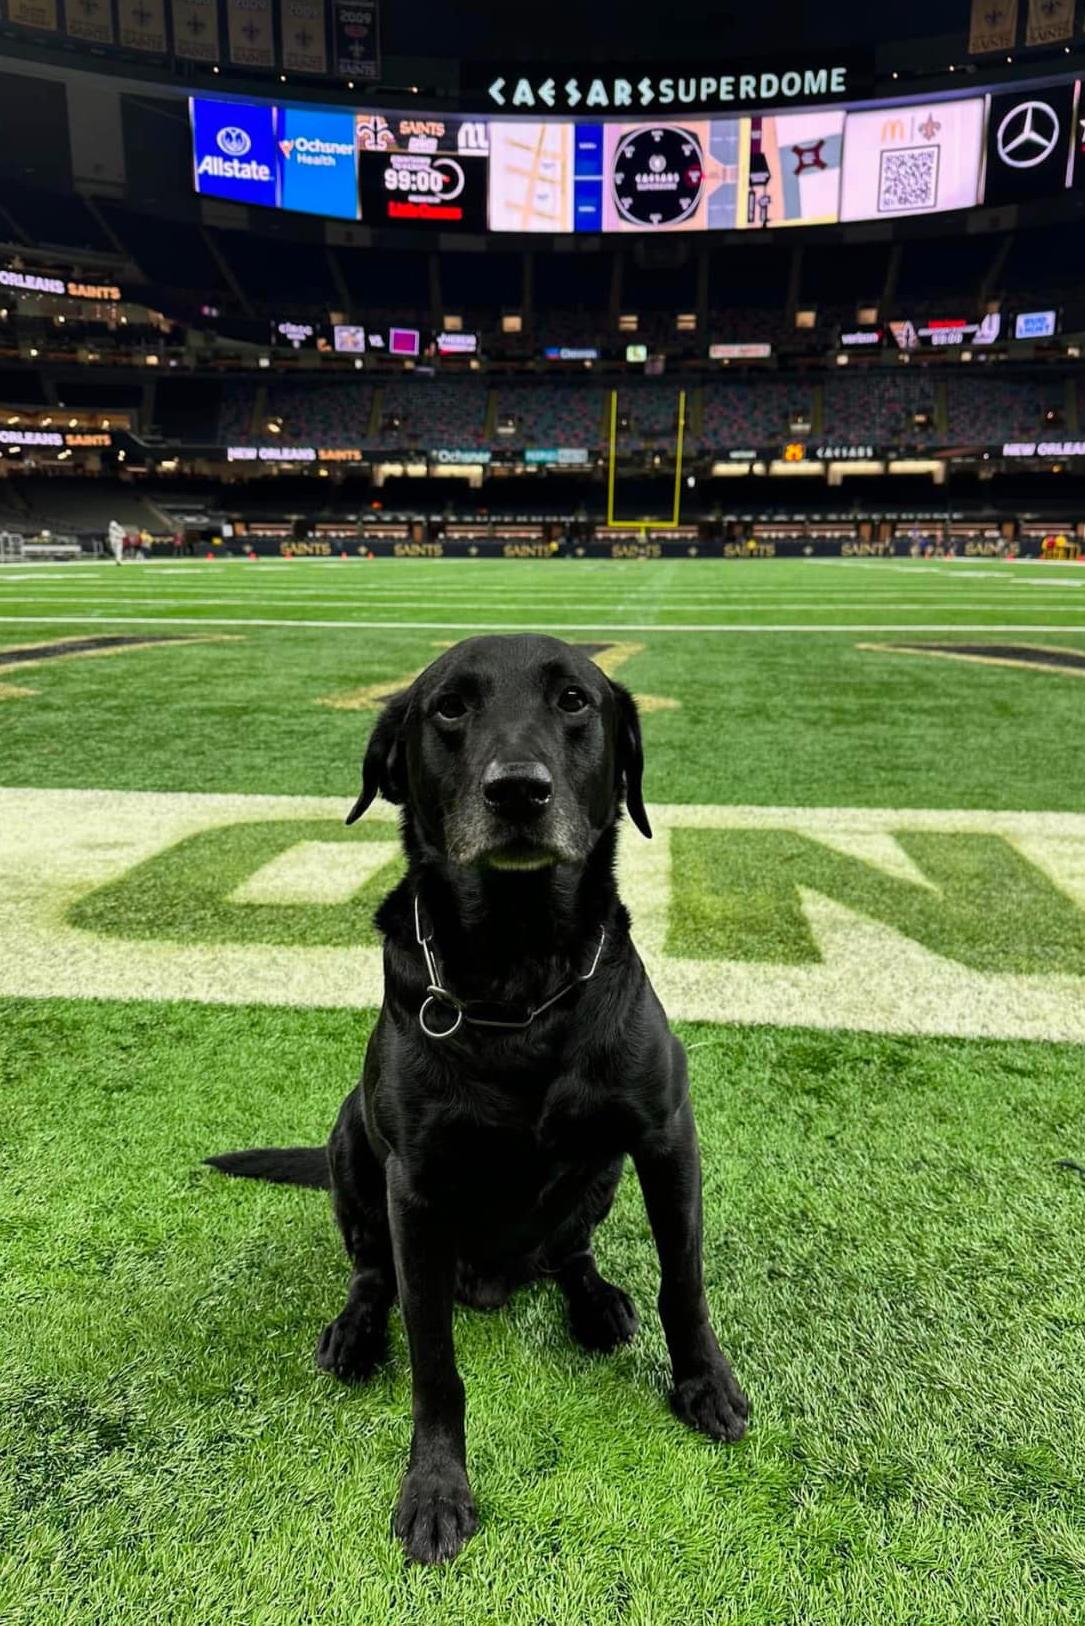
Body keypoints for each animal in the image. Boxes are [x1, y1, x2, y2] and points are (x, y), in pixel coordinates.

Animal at [208, 630, 748, 1560]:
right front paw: (434, 1489)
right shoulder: (416, 1189)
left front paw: (703, 1384)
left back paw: (596, 1303)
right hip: (351, 1143)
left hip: (600, 1176)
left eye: (574, 700)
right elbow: (433, 1361)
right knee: (370, 1271)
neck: (518, 968)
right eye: (450, 709)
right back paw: (354, 1333)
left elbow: (684, 1280)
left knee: (568, 1251)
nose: (518, 790)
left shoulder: (663, 1133)